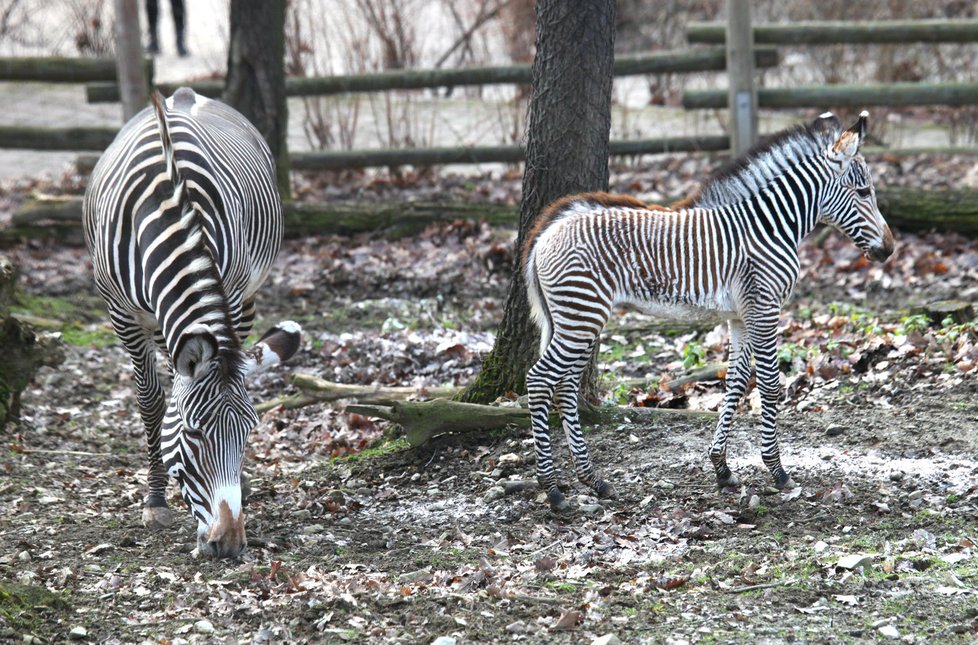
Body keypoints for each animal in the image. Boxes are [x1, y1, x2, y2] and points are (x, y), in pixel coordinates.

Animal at [82, 88, 300, 556]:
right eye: (194, 434)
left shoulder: (229, 294)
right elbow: (152, 403)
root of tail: (183, 93)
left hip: (248, 295)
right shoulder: (121, 315)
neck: (166, 208)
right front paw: (155, 501)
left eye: (249, 434)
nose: (230, 543)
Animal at [528, 112, 892, 512]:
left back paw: (593, 480)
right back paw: (552, 489)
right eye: (864, 192)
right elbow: (769, 384)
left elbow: (735, 382)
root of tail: (546, 232)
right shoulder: (765, 308)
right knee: (540, 379)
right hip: (582, 314)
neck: (768, 226)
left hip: (577, 318)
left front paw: (722, 468)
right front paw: (777, 471)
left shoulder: (740, 316)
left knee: (564, 385)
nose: (889, 250)